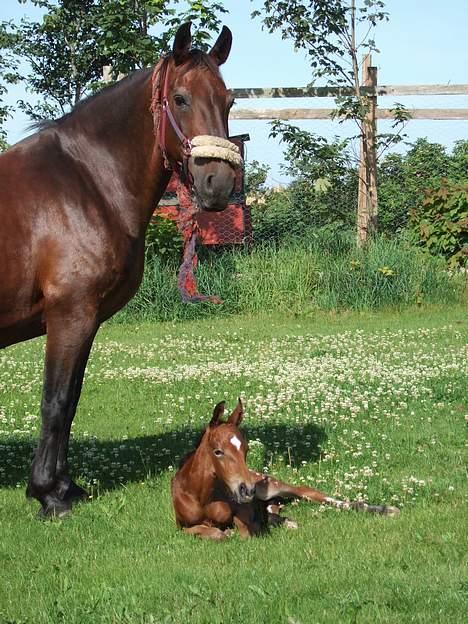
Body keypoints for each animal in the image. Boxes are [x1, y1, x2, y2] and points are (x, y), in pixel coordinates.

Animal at [0, 23, 239, 516]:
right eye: (180, 98)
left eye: (228, 101)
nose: (218, 184)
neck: (85, 183)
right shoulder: (69, 314)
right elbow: (55, 401)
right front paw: (47, 494)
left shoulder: (86, 319)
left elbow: (71, 401)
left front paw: (65, 486)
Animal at [171, 402, 398, 540]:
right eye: (218, 451)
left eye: (246, 449)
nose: (247, 490)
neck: (203, 496)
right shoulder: (181, 526)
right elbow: (213, 533)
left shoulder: (244, 512)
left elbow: (243, 531)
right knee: (274, 508)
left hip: (269, 486)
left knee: (307, 492)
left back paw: (383, 509)